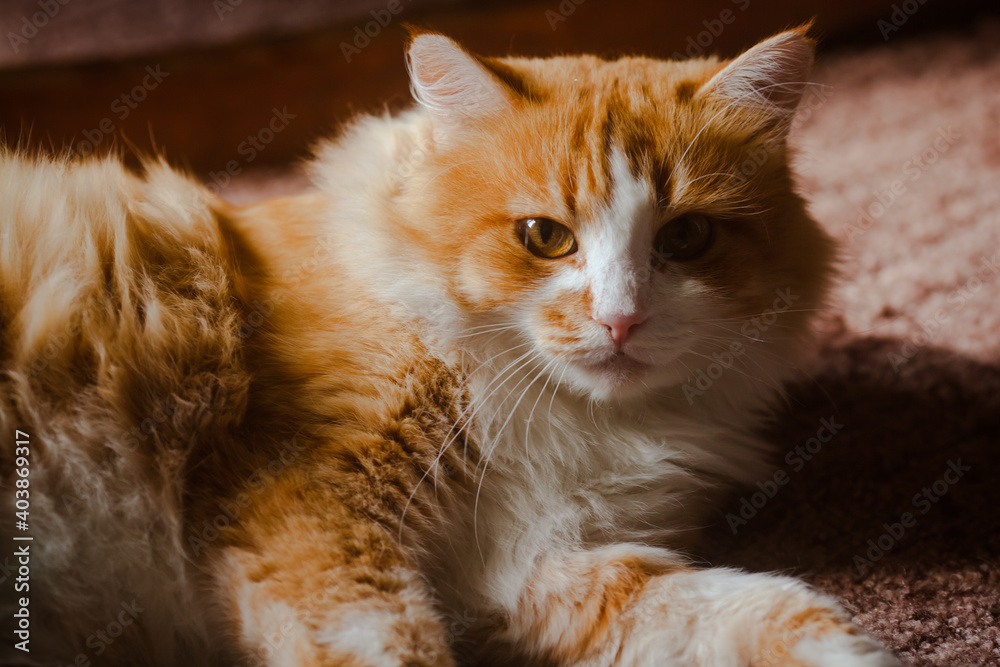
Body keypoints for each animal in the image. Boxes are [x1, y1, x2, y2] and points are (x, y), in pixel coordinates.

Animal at [0, 26, 904, 667]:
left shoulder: (532, 564)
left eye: (685, 238)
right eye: (544, 237)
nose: (621, 320)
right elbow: (385, 640)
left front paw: (852, 651)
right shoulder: (312, 508)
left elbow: (734, 608)